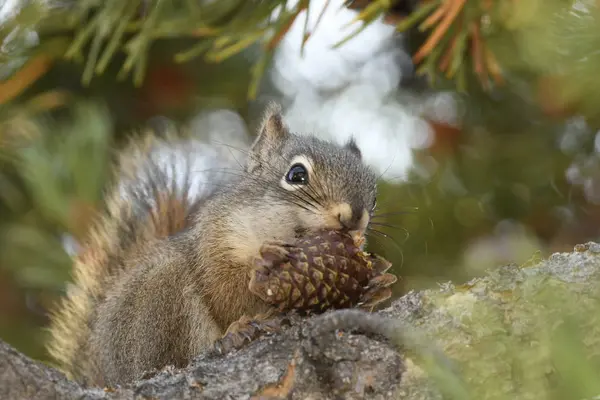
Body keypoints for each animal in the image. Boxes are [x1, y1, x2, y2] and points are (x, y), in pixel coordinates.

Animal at [47, 104, 378, 388]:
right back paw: (234, 335)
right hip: (159, 301)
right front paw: (264, 264)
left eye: (373, 193)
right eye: (297, 174)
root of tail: (104, 373)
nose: (354, 216)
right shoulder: (215, 244)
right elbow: (227, 294)